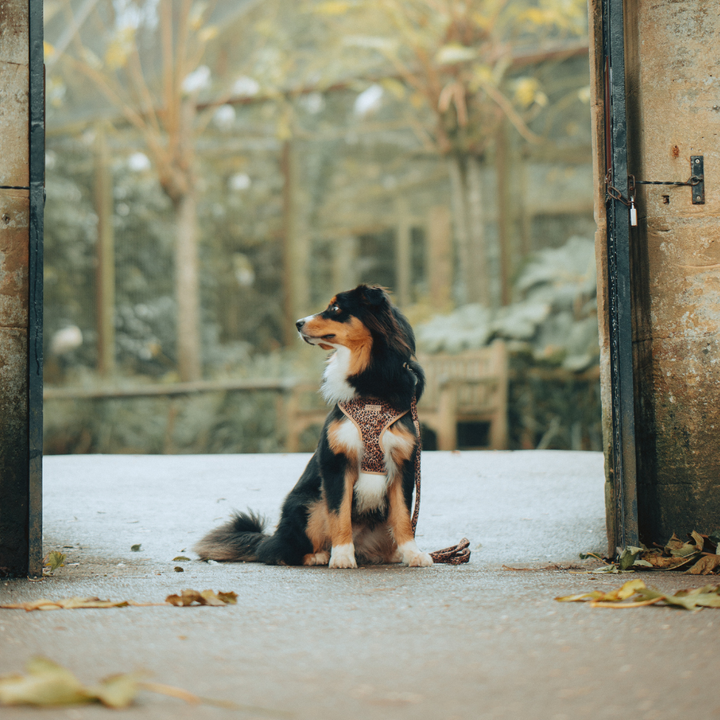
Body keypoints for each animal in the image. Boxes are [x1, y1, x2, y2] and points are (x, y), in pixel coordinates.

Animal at [191, 284, 436, 572]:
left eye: (336, 308)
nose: (298, 323)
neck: (370, 387)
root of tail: (270, 536)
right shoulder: (336, 463)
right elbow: (339, 515)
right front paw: (342, 557)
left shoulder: (403, 464)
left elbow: (404, 518)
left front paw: (413, 553)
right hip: (308, 504)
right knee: (280, 551)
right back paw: (318, 555)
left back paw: (391, 554)